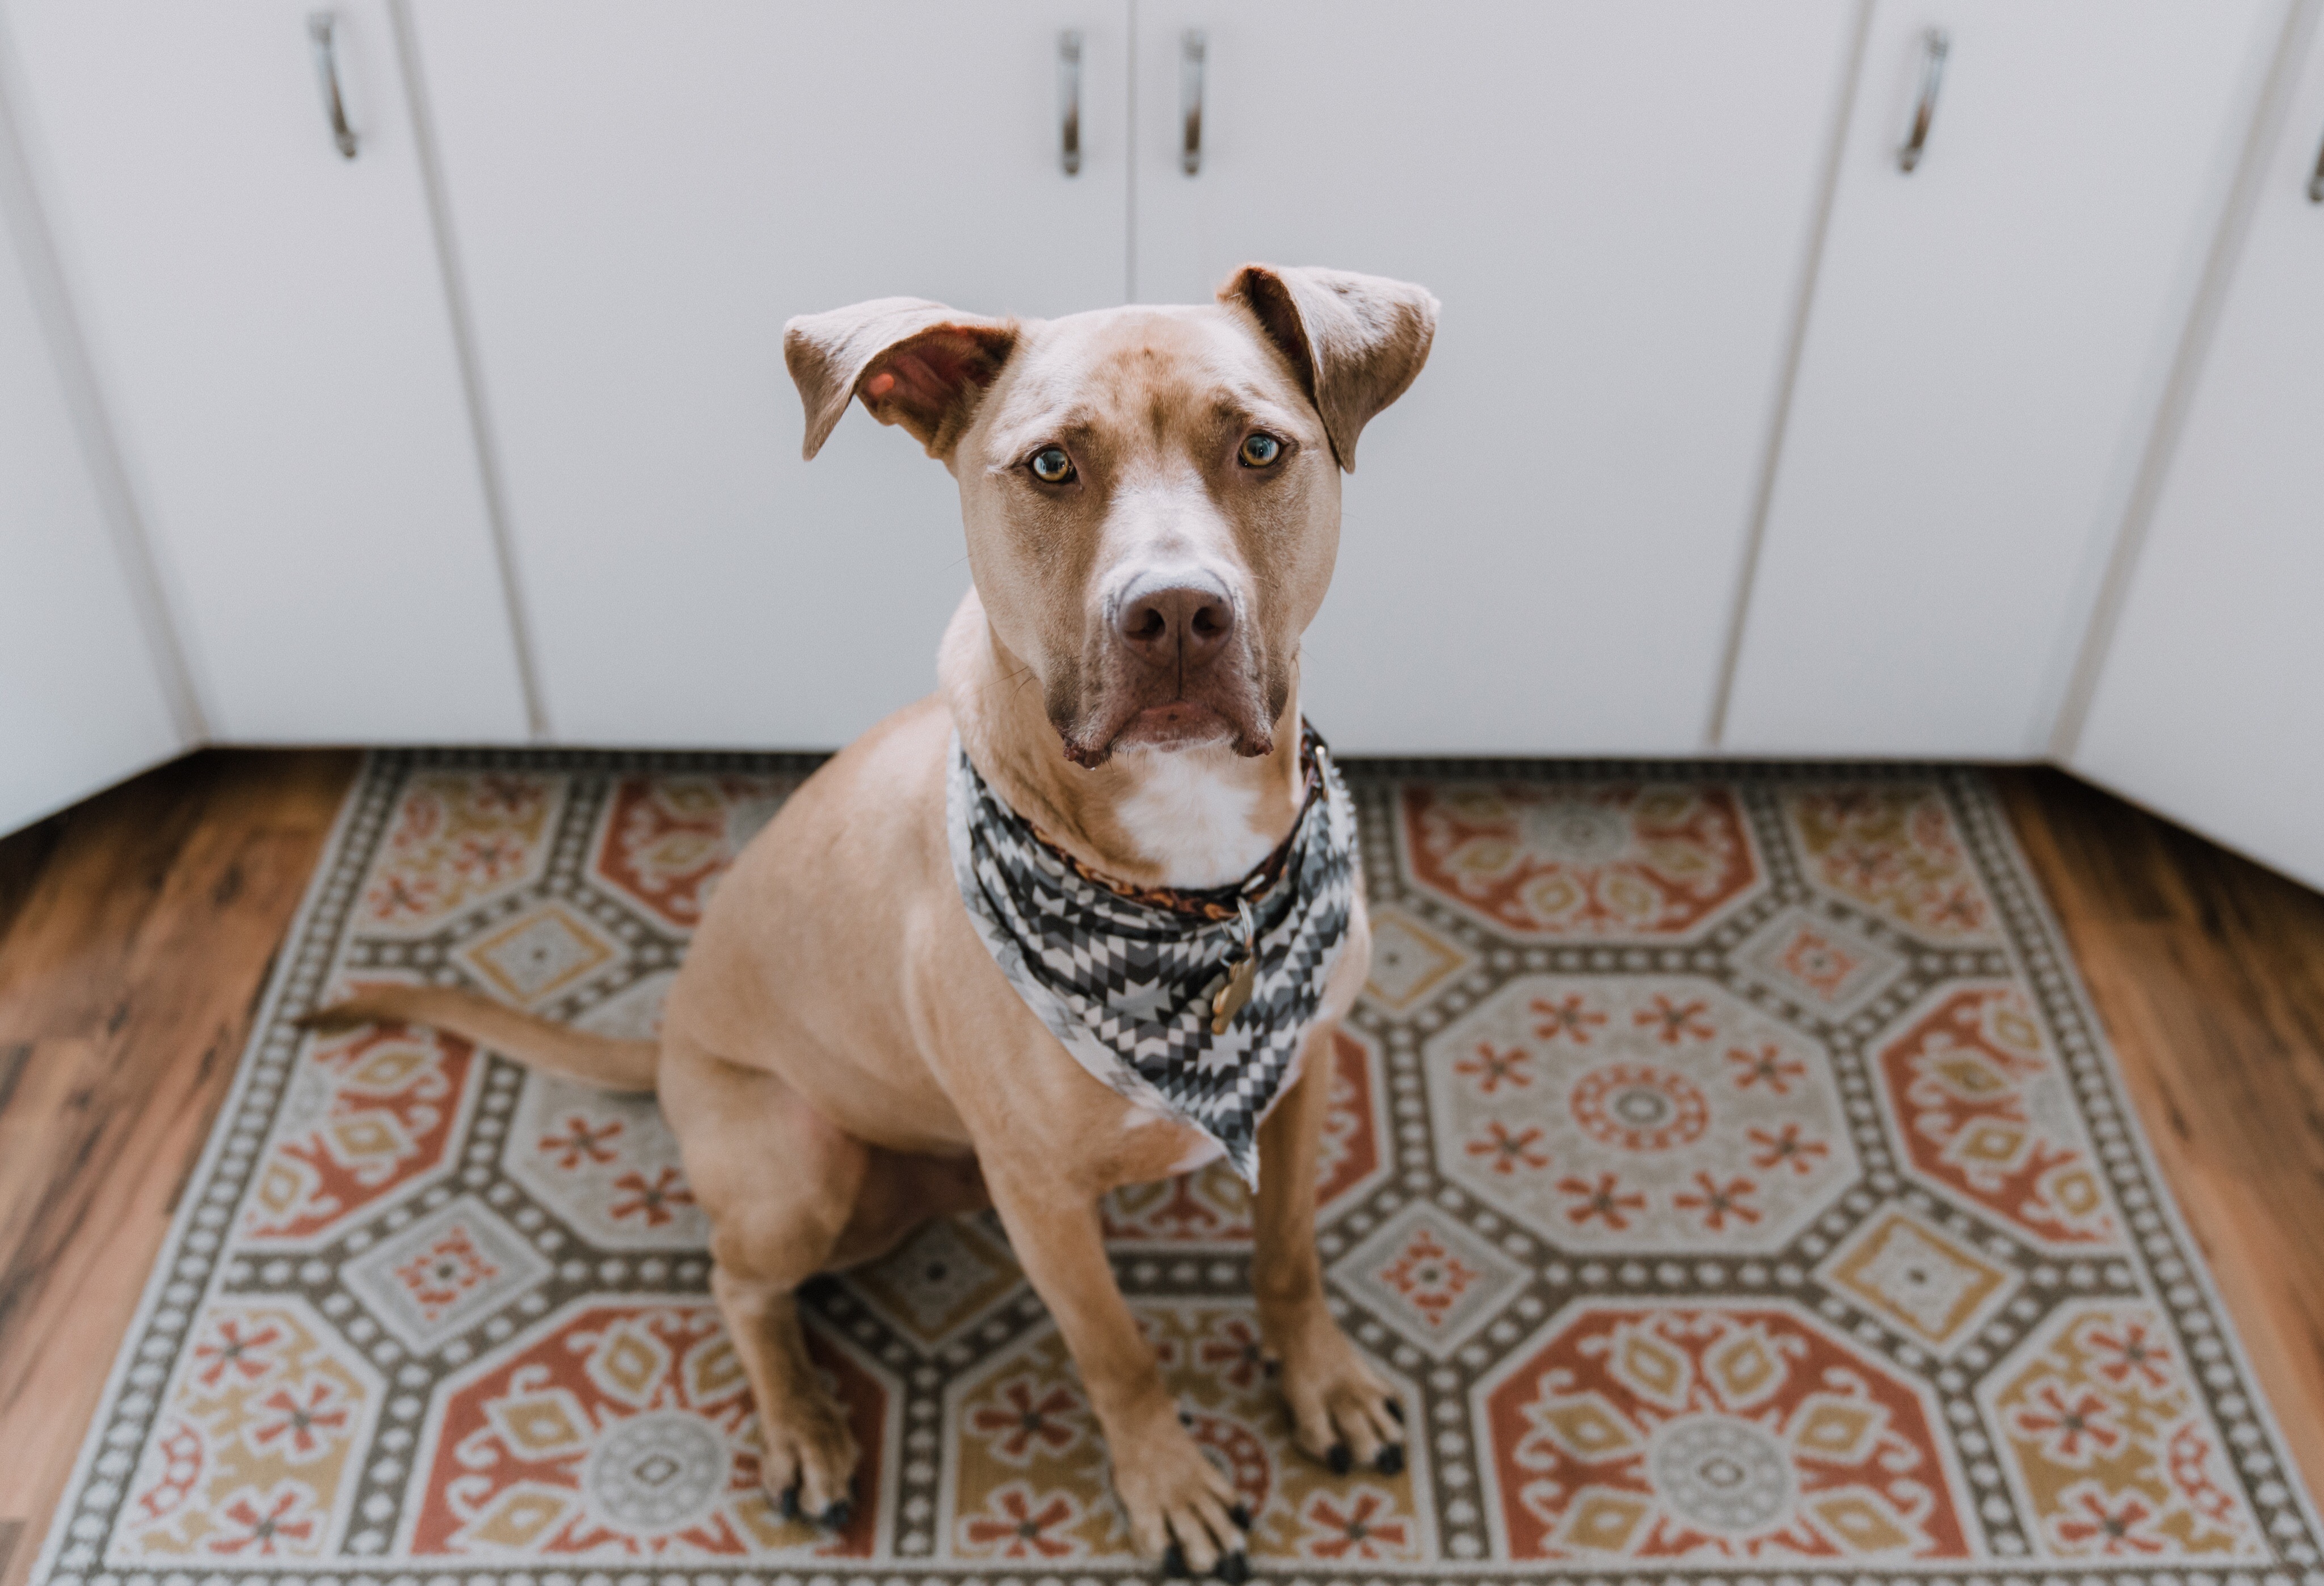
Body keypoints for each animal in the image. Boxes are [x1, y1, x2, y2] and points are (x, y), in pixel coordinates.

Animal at [309, 265, 1432, 1572]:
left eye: (1259, 447)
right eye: (1050, 464)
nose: (1174, 613)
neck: (1195, 888)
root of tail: (668, 1036)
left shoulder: (1302, 1070)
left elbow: (1289, 1254)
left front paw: (1322, 1382)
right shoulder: (1043, 1198)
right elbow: (1117, 1353)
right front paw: (1166, 1481)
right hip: (805, 1169)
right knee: (737, 1282)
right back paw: (802, 1426)